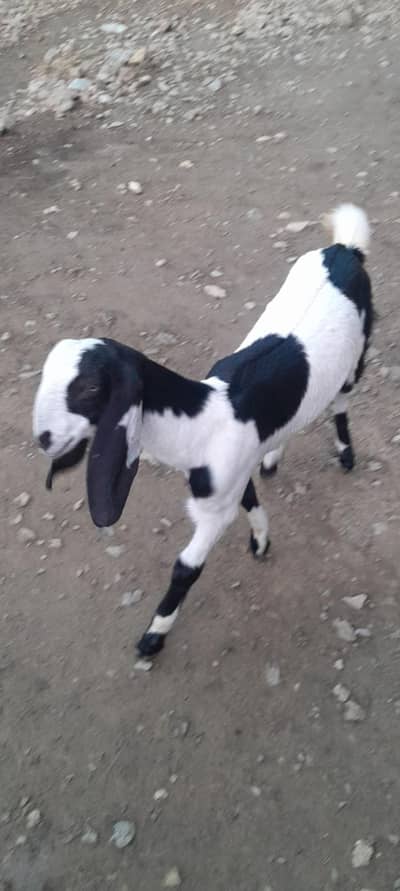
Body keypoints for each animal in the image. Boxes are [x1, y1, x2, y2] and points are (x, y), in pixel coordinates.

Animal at [33, 204, 374, 658]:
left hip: (359, 352)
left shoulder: (215, 508)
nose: (44, 439)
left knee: (342, 398)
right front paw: (261, 540)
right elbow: (250, 498)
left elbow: (185, 567)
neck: (202, 420)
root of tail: (345, 249)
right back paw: (274, 456)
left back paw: (345, 453)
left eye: (89, 388)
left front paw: (154, 636)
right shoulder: (230, 474)